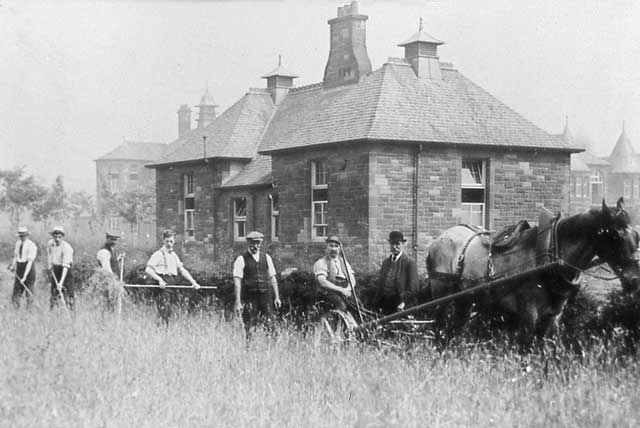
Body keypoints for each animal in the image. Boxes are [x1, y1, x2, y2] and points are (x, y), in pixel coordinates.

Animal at [424, 197, 640, 348]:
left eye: (636, 235)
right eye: (615, 235)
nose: (634, 279)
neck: (551, 253)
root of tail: (440, 238)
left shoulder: (553, 316)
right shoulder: (529, 313)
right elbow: (527, 351)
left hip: (465, 300)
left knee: (454, 330)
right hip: (442, 294)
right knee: (439, 328)